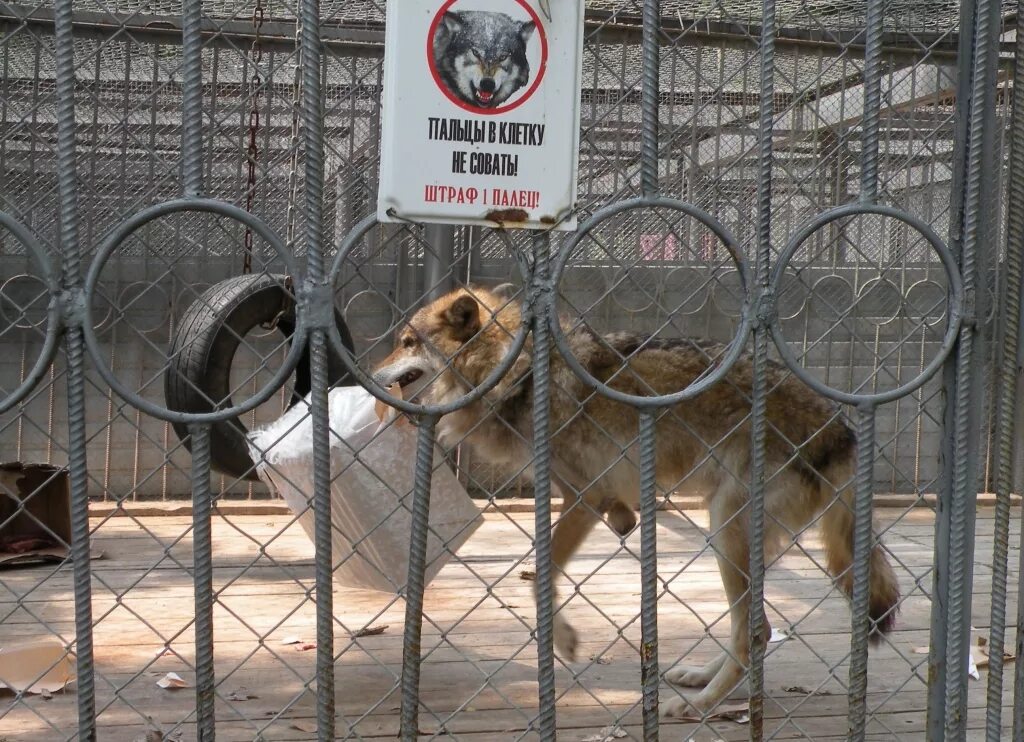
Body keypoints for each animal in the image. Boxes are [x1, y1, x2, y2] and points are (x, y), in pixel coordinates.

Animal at [372, 286, 901, 716]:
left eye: (407, 342)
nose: (373, 376)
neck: (514, 368)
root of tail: (841, 431)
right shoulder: (586, 494)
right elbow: (601, 527)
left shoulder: (584, 496)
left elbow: (542, 574)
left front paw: (564, 639)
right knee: (753, 630)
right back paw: (703, 679)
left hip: (725, 530)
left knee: (757, 632)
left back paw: (700, 705)